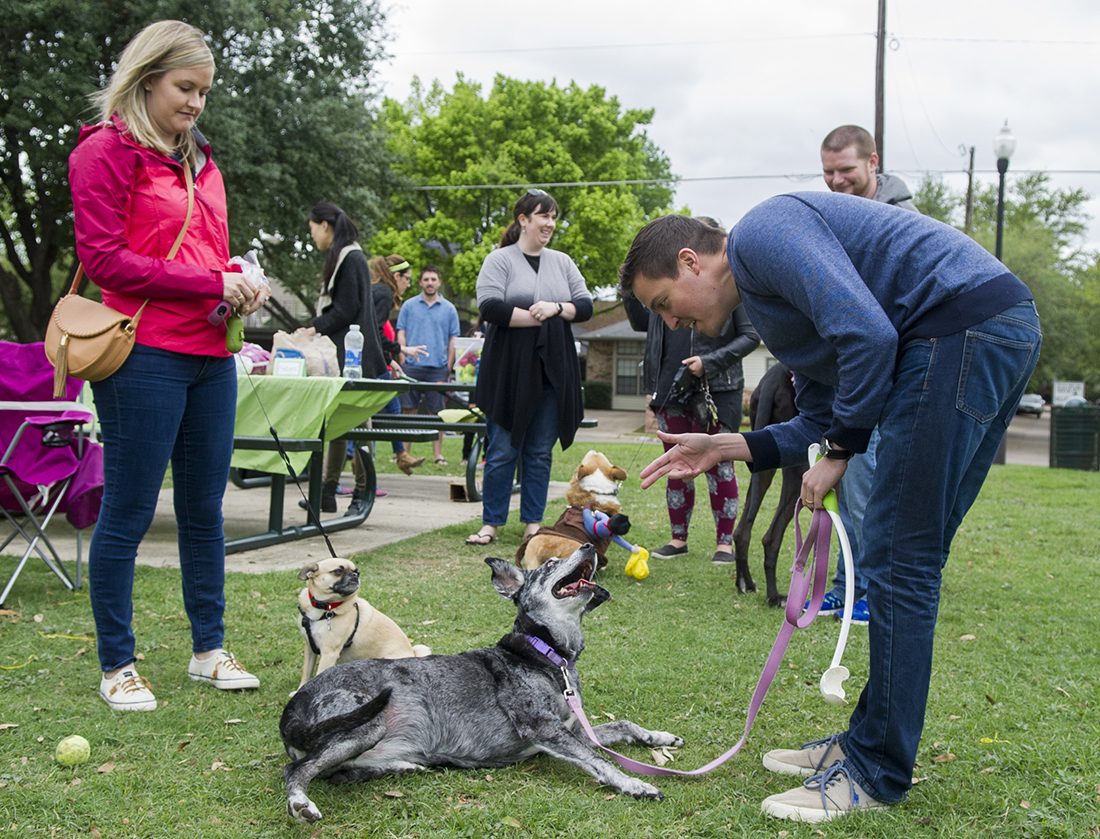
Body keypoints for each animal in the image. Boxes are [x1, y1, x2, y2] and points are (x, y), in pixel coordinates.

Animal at [279, 541, 682, 822]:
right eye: (550, 564)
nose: (588, 546)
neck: (544, 653)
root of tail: (292, 708)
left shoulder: (573, 729)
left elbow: (623, 725)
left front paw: (658, 737)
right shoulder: (545, 729)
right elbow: (599, 760)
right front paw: (635, 783)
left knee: (336, 770)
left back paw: (402, 765)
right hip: (366, 720)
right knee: (298, 770)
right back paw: (301, 802)